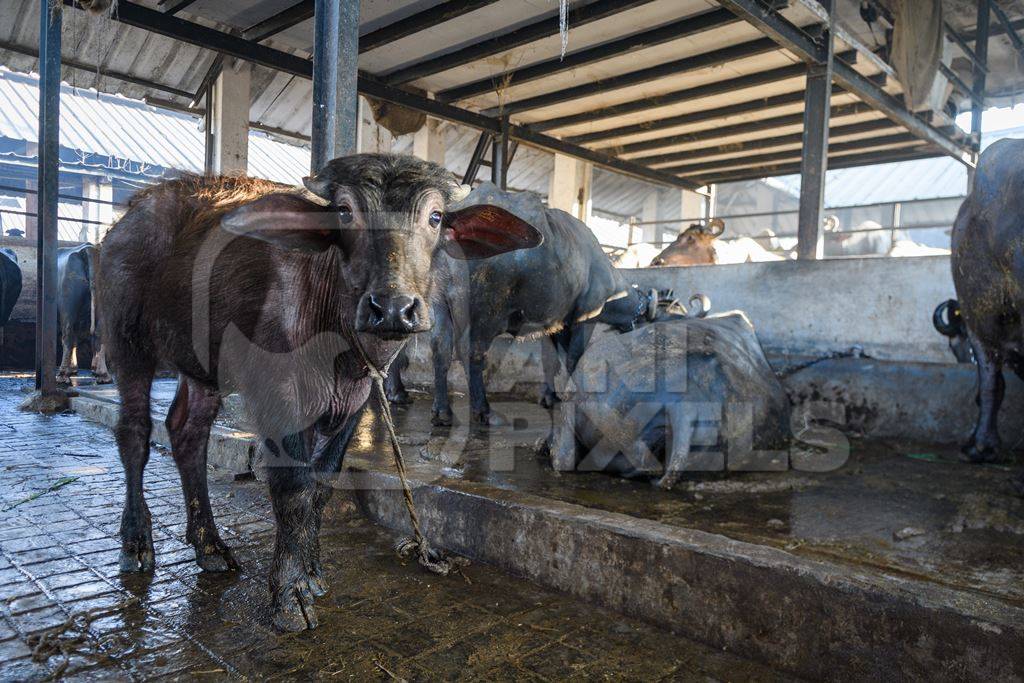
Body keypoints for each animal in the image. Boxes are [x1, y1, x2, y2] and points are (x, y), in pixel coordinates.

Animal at [56, 244, 110, 385]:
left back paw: (62, 375)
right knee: (99, 334)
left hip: (68, 304)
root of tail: (88, 249)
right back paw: (103, 375)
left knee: (67, 336)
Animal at [97, 157, 544, 634]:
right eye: (345, 212)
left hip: (201, 365)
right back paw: (136, 543)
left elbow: (322, 481)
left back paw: (210, 545)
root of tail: (130, 215)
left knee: (187, 433)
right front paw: (289, 595)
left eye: (436, 217)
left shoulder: (355, 398)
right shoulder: (278, 394)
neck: (340, 345)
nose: (392, 309)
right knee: (134, 434)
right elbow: (292, 487)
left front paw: (311, 573)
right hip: (126, 342)